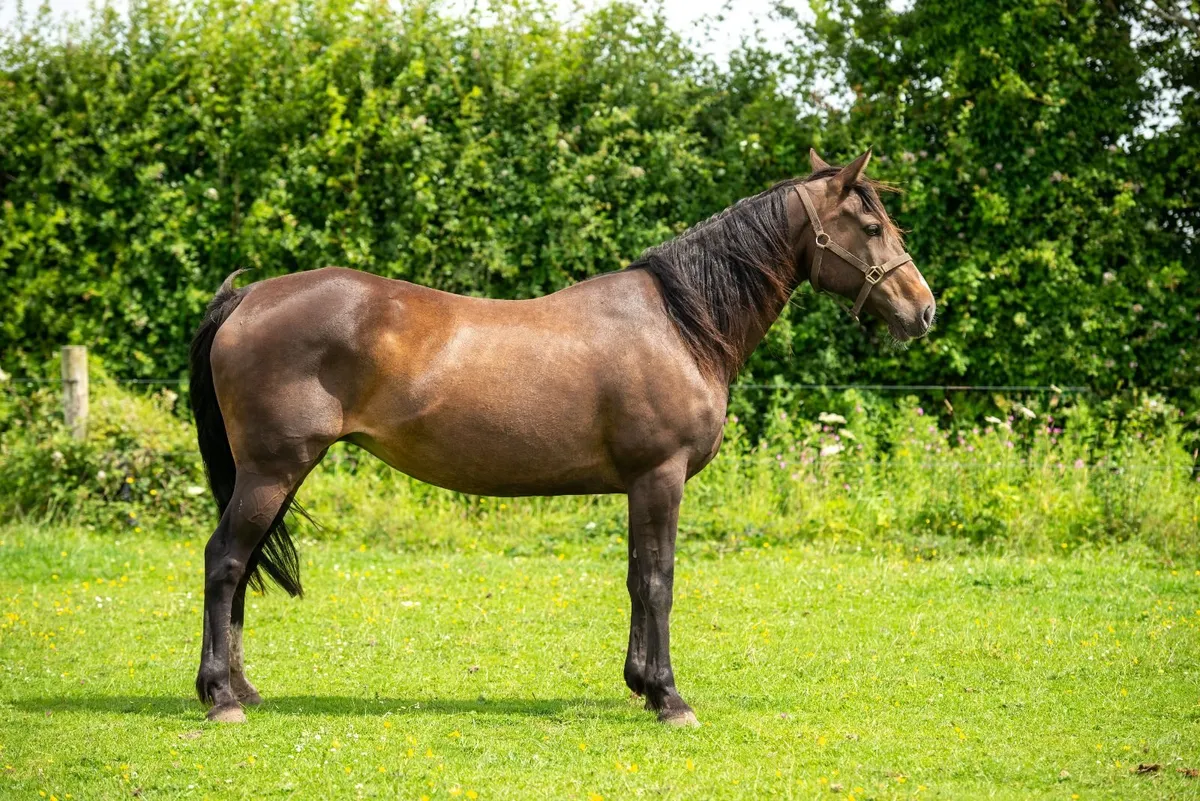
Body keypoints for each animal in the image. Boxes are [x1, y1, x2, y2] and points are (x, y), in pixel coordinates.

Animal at [188, 148, 935, 725]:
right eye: (872, 225)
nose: (924, 310)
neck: (679, 323)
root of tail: (249, 297)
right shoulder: (659, 477)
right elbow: (657, 579)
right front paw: (669, 697)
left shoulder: (641, 485)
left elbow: (636, 577)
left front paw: (641, 683)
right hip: (272, 470)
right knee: (225, 559)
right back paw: (221, 697)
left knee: (241, 565)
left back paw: (243, 688)